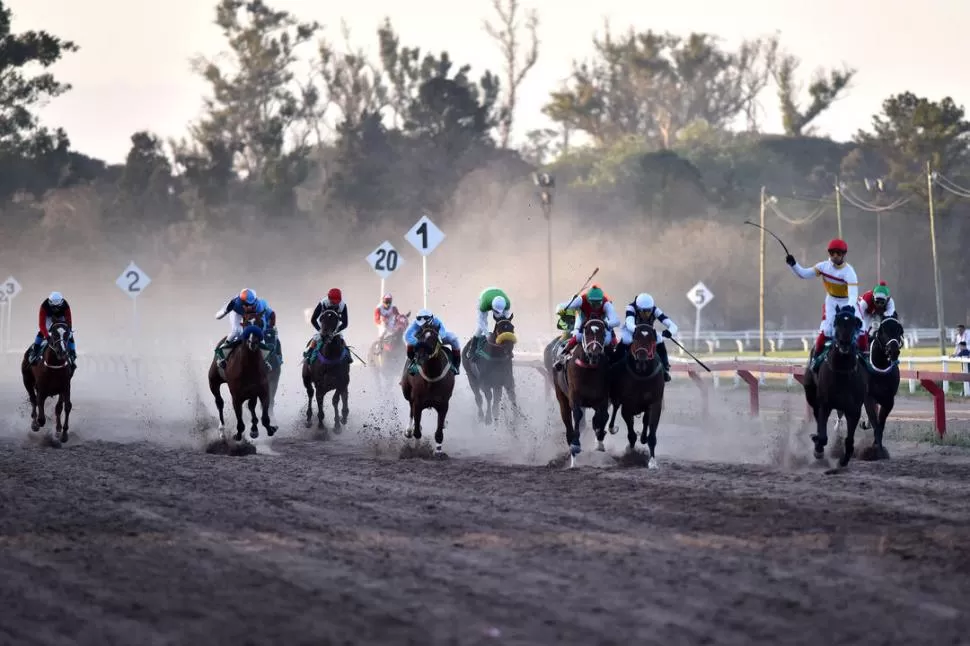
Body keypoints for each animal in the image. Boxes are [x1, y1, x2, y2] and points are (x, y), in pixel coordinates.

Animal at [404, 320, 458, 456]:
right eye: (419, 337)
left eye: (434, 339)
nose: (420, 357)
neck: (432, 375)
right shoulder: (418, 402)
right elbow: (417, 430)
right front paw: (417, 449)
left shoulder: (443, 404)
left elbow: (439, 431)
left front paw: (439, 451)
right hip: (407, 392)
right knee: (410, 408)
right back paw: (409, 430)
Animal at [548, 318, 608, 466]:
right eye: (586, 332)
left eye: (603, 333)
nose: (593, 354)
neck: (589, 369)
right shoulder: (574, 397)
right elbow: (577, 414)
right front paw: (575, 445)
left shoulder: (602, 398)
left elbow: (602, 416)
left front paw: (600, 442)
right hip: (561, 396)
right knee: (568, 423)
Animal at [604, 326, 664, 468]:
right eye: (635, 338)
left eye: (652, 339)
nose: (642, 356)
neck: (642, 375)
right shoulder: (627, 406)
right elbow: (631, 434)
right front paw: (630, 453)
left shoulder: (655, 403)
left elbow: (651, 432)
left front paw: (652, 462)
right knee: (615, 407)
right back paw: (612, 428)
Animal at [800, 306, 864, 468]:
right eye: (837, 323)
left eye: (854, 323)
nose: (844, 343)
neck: (841, 372)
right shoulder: (825, 404)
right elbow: (822, 436)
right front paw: (818, 448)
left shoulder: (854, 409)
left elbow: (849, 440)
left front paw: (844, 459)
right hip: (811, 394)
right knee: (817, 416)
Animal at [860, 316, 904, 460]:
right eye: (883, 330)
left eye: (899, 330)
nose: (893, 351)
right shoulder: (868, 398)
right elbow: (876, 424)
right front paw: (876, 451)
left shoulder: (888, 399)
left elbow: (881, 423)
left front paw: (877, 447)